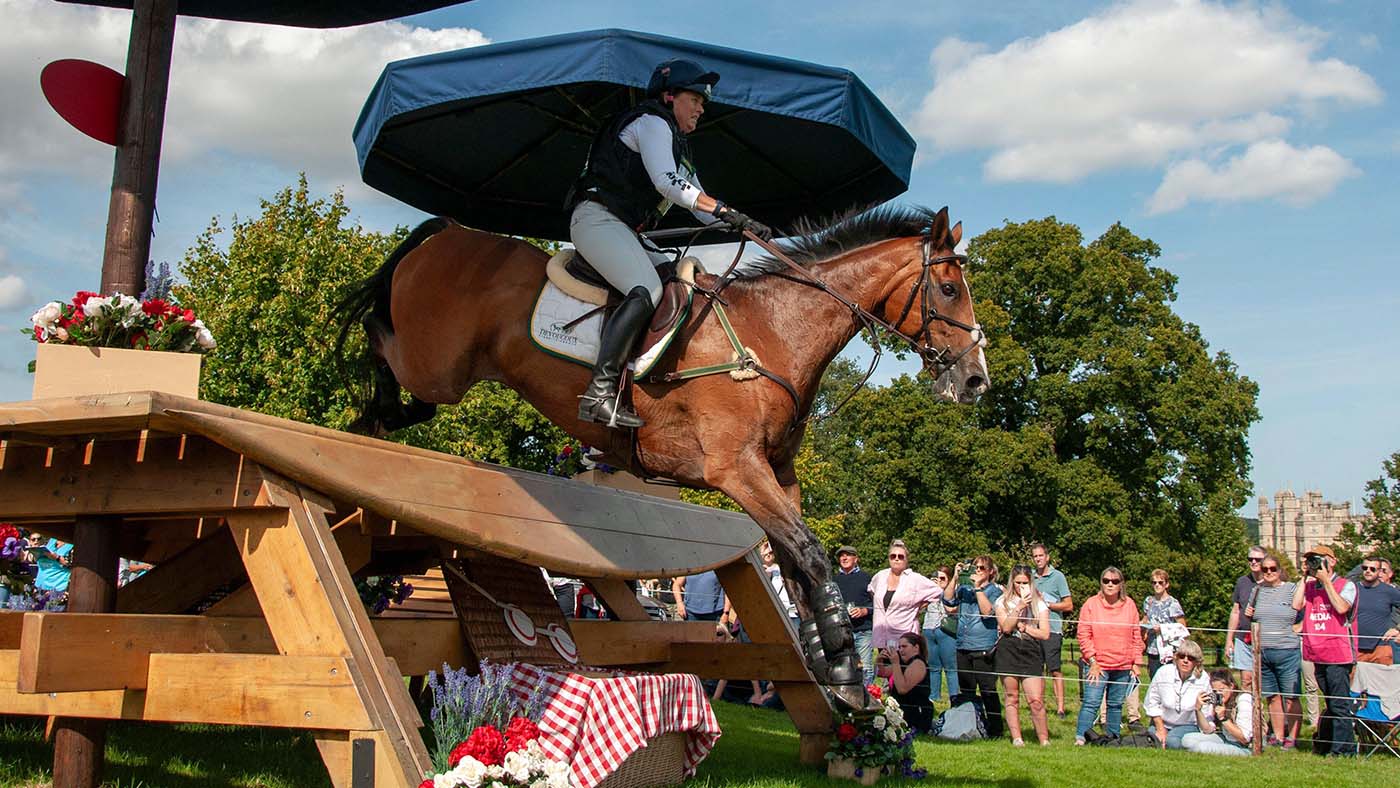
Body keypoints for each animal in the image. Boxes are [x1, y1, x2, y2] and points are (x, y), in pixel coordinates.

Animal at [333, 202, 991, 708]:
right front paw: (845, 669)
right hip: (435, 366)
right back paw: (363, 399)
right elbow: (810, 554)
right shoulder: (737, 469)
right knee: (377, 335)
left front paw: (833, 669)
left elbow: (797, 562)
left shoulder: (779, 473)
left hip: (438, 379)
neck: (775, 331)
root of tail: (448, 231)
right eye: (949, 289)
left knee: (403, 400)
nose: (976, 381)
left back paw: (369, 425)